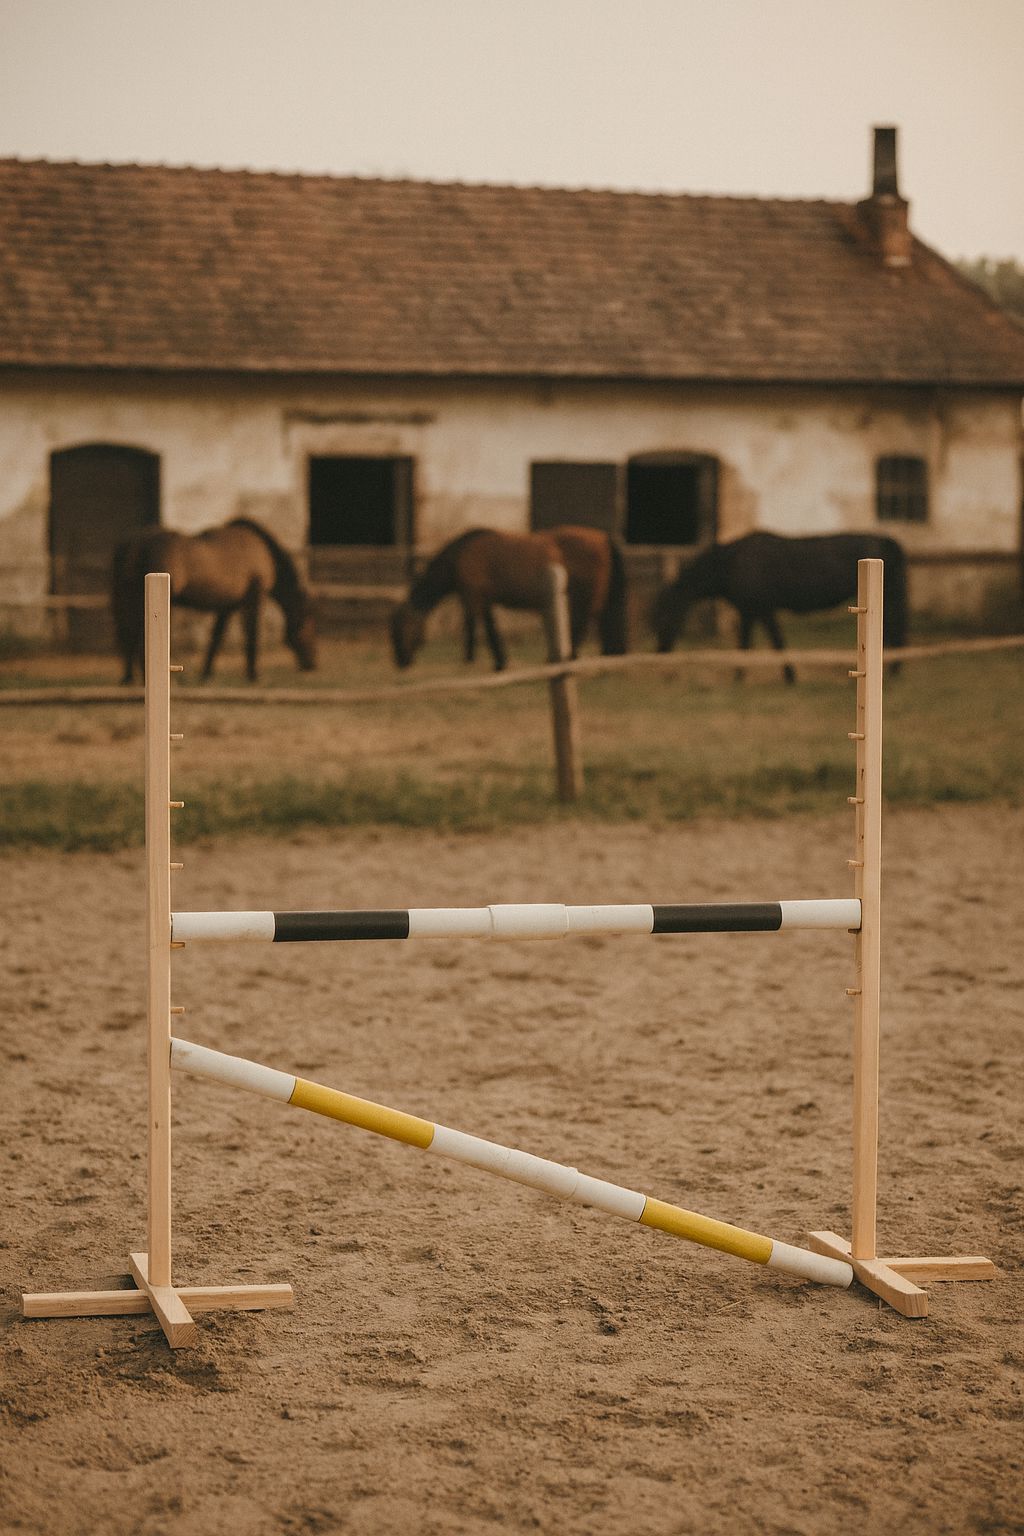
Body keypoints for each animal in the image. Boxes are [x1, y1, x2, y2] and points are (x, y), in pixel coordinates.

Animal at [111, 517, 318, 683]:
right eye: (307, 623)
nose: (312, 664)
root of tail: (136, 543)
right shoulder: (254, 597)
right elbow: (252, 634)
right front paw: (254, 675)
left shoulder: (227, 607)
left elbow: (216, 638)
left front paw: (206, 673)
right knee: (135, 634)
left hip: (128, 597)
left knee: (128, 633)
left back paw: (128, 678)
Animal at [389, 526, 628, 671]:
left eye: (402, 629)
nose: (401, 662)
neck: (461, 555)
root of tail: (603, 538)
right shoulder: (485, 601)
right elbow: (490, 628)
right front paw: (498, 662)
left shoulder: (472, 597)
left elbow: (474, 627)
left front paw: (470, 660)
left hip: (585, 600)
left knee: (582, 626)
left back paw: (566, 658)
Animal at [651, 531, 907, 683]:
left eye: (665, 616)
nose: (660, 652)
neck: (730, 562)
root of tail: (887, 541)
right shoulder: (748, 611)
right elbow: (745, 644)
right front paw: (740, 675)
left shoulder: (764, 610)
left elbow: (775, 642)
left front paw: (788, 676)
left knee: (897, 628)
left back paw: (895, 671)